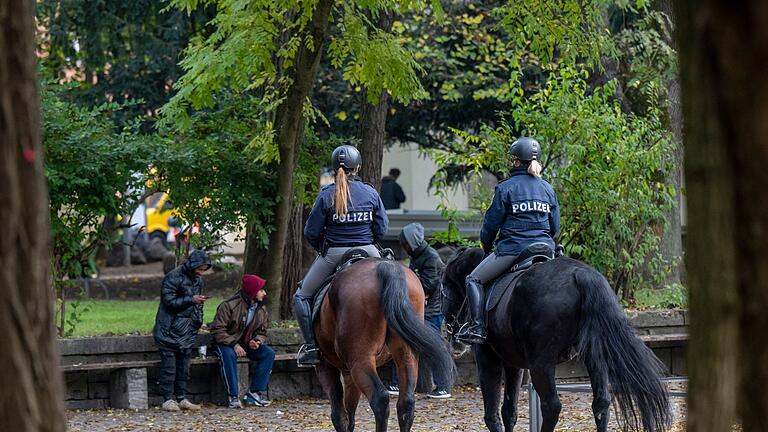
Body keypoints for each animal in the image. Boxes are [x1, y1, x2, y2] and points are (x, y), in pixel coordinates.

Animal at [314, 258, 456, 430]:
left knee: (379, 399)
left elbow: (339, 414)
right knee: (406, 402)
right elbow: (350, 411)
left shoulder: (326, 366)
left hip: (359, 359)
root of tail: (386, 267)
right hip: (406, 354)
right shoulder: (346, 372)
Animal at [440, 246, 668, 432]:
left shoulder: (488, 360)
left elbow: (492, 415)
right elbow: (509, 411)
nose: (454, 343)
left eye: (442, 291)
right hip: (594, 358)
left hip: (541, 365)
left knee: (552, 406)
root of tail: (581, 275)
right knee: (601, 403)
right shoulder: (514, 364)